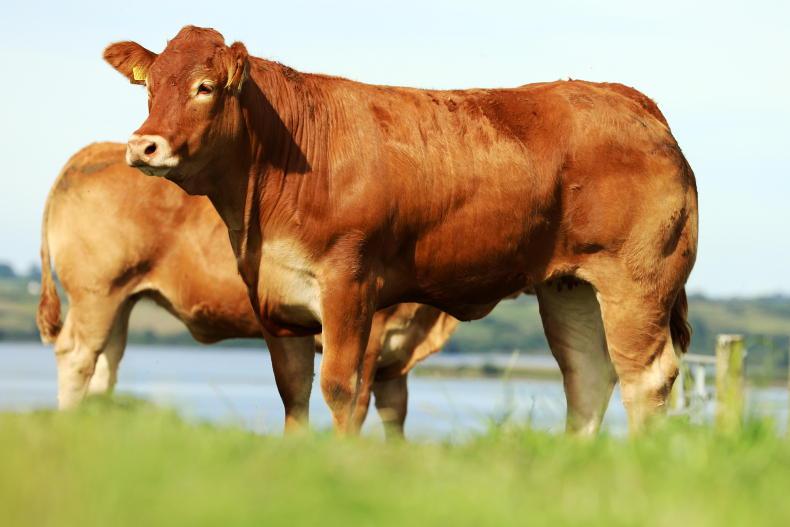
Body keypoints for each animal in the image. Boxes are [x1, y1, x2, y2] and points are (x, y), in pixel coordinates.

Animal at [36, 142, 458, 438]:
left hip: (120, 299)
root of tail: (95, 149)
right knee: (77, 356)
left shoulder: (394, 356)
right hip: (97, 291)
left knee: (105, 365)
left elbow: (395, 414)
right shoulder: (368, 338)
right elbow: (356, 406)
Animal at [104, 26, 697, 434]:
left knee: (646, 376)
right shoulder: (275, 299)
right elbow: (293, 394)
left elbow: (342, 389)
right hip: (568, 286)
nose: (144, 145)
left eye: (204, 87)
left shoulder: (349, 285)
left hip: (638, 280)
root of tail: (624, 96)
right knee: (588, 375)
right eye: (150, 87)